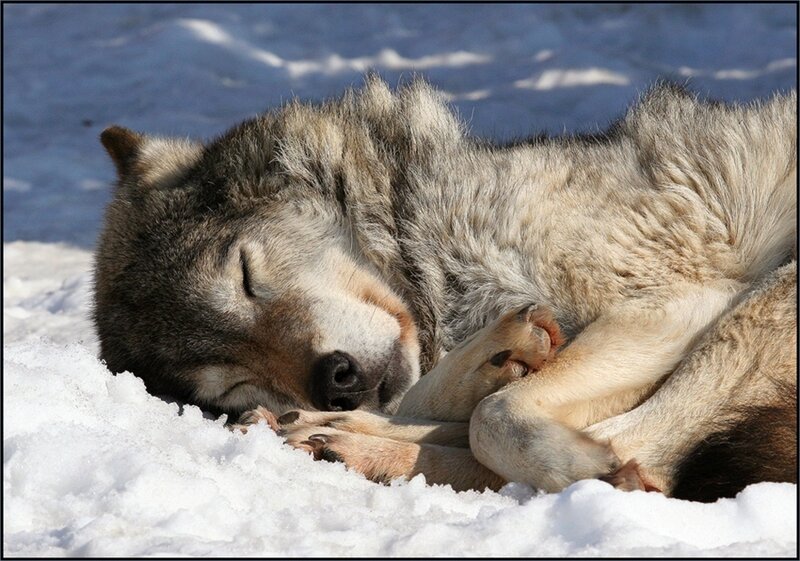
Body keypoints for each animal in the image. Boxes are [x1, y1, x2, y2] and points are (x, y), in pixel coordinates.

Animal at [94, 77, 797, 502]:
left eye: (245, 274)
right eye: (231, 380)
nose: (334, 379)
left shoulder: (677, 300)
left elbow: (493, 419)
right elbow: (454, 403)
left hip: (770, 296)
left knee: (642, 449)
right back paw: (331, 435)